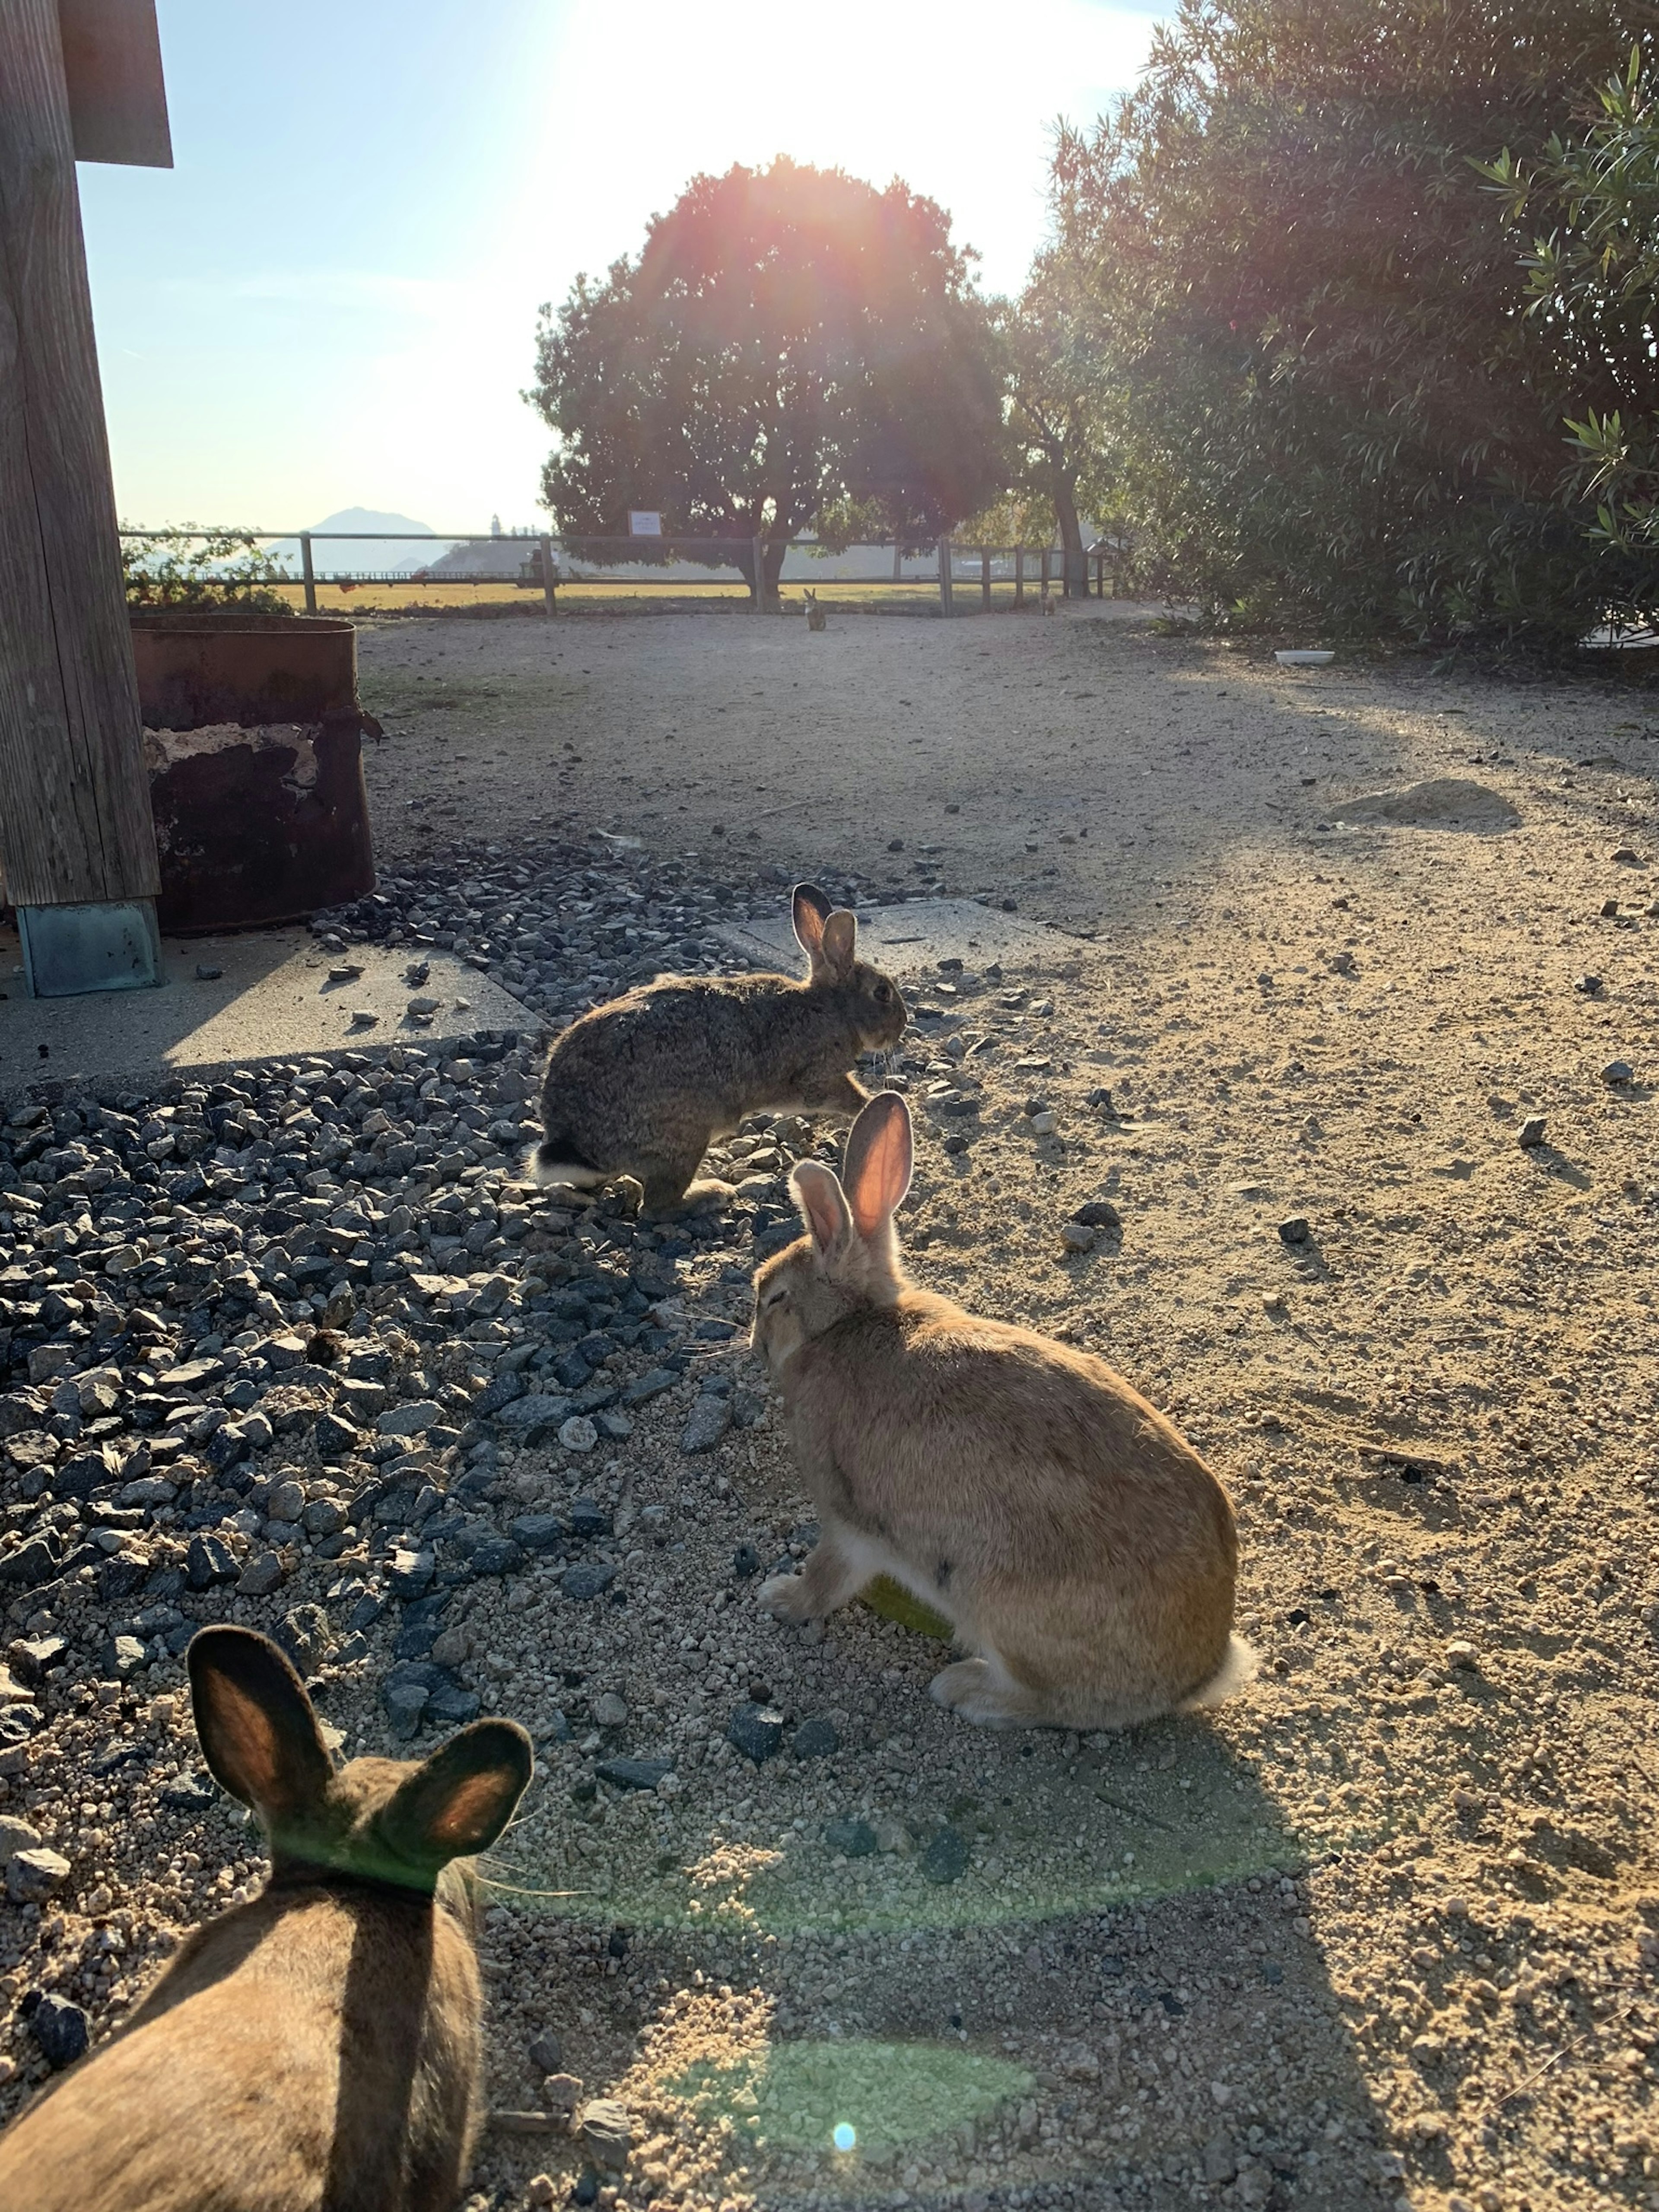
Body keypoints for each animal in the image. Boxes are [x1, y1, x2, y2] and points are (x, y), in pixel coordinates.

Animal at [528, 876, 911, 1212]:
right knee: (657, 1209)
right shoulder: (817, 1076)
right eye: (882, 993)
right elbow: (847, 1097)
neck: (832, 1008)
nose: (903, 1025)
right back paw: (712, 1194)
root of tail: (575, 1141)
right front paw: (874, 1106)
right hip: (685, 1138)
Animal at [747, 1088, 1256, 1725]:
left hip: (997, 1605)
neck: (846, 1326)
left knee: (1050, 1701)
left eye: (775, 1298)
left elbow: (828, 1576)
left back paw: (964, 1688)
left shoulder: (848, 1522)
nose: (753, 1345)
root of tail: (1199, 1676)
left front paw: (780, 1598)